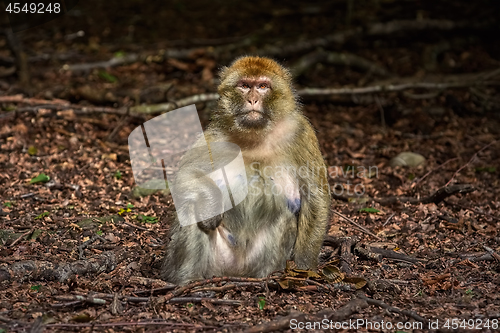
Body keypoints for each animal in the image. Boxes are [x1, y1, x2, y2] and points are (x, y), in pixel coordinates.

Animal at [162, 55, 330, 284]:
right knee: (190, 206)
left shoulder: (300, 132)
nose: (252, 100)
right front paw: (211, 209)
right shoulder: (216, 134)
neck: (255, 134)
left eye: (262, 86)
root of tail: (235, 271)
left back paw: (267, 277)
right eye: (244, 86)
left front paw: (304, 266)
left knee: (285, 218)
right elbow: (186, 175)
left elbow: (314, 196)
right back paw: (187, 281)